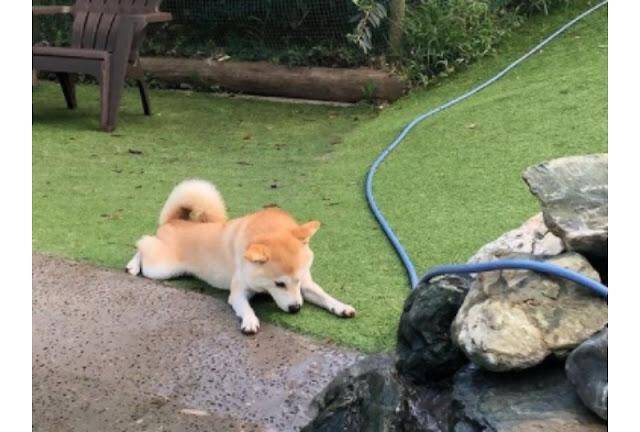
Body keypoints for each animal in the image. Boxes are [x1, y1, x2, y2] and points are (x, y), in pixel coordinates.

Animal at [125, 179, 356, 334]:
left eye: (297, 280)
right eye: (279, 284)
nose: (296, 309)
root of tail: (174, 221)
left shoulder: (306, 285)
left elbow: (324, 296)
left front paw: (341, 307)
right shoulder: (238, 292)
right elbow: (245, 307)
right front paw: (250, 320)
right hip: (162, 268)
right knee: (143, 243)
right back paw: (132, 266)